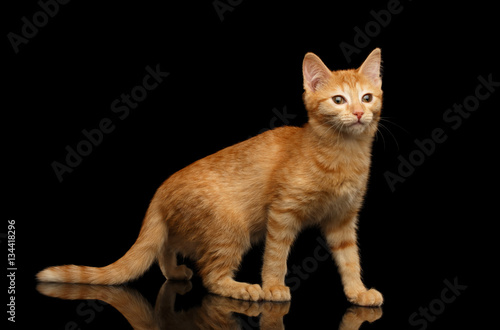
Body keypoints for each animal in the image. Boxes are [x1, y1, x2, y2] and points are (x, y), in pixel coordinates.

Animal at [37, 48, 384, 306]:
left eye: (367, 97)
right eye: (338, 100)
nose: (358, 113)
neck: (343, 153)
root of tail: (160, 190)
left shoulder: (343, 220)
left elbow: (350, 259)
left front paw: (357, 292)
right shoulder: (282, 213)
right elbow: (275, 255)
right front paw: (273, 286)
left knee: (165, 246)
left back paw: (174, 271)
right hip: (231, 228)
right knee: (210, 276)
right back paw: (242, 288)